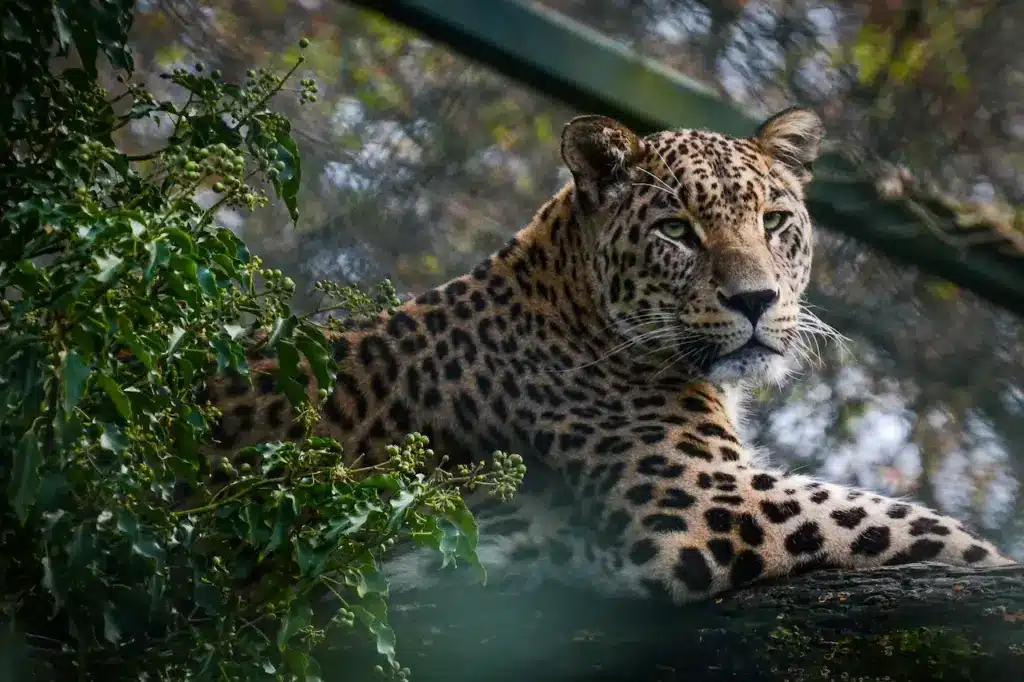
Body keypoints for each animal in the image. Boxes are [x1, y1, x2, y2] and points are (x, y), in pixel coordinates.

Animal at [201, 106, 1015, 602]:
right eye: (677, 231)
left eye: (775, 221)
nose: (756, 300)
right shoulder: (708, 500)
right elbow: (910, 525)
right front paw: (1001, 563)